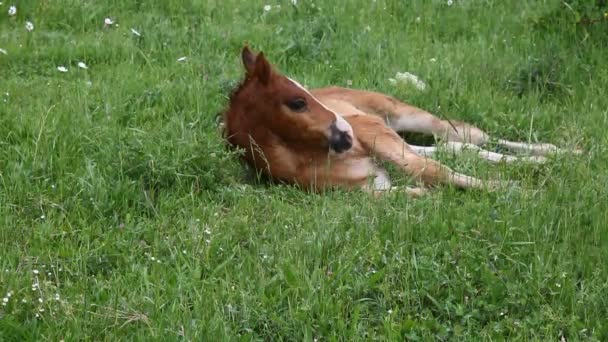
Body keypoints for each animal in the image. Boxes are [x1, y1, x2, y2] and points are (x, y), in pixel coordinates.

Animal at [222, 46, 580, 195]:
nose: (345, 130)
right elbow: (408, 188)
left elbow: (432, 171)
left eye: (304, 93)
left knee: (467, 135)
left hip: (401, 117)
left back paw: (561, 153)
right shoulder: (369, 188)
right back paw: (543, 161)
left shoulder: (374, 131)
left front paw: (512, 190)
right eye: (297, 102)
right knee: (460, 148)